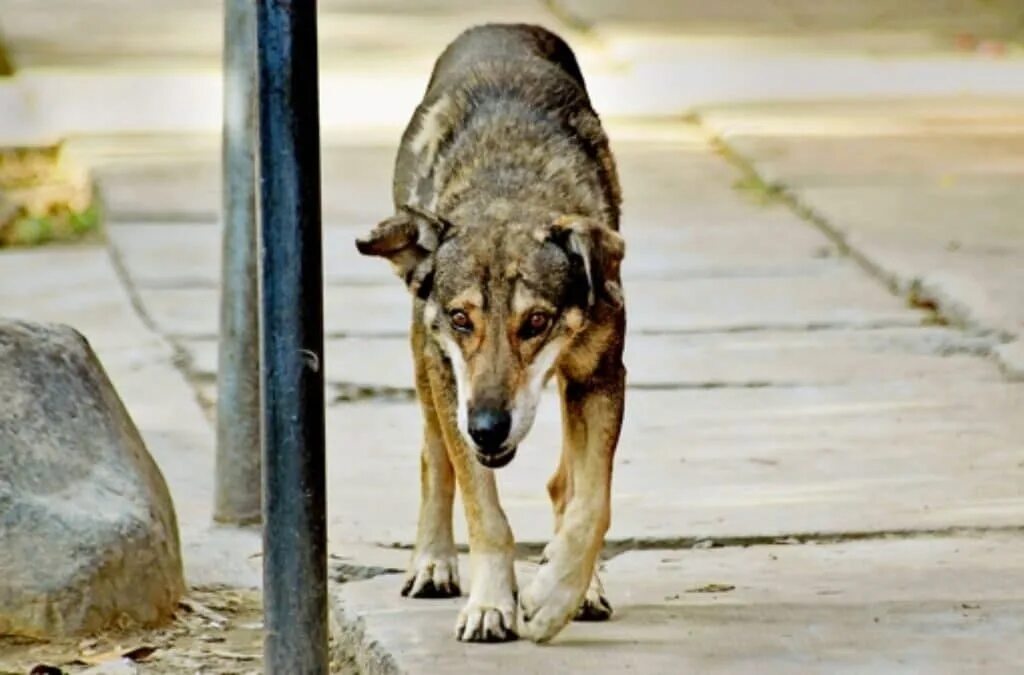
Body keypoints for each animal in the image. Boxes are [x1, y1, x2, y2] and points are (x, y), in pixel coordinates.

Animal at [356, 22, 626, 643]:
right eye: (461, 320)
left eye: (536, 322)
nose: (486, 427)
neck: (508, 188)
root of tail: (500, 26)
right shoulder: (450, 379)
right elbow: (485, 510)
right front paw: (489, 604)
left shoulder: (602, 376)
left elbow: (591, 502)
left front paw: (556, 596)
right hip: (424, 363)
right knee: (434, 458)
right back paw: (432, 564)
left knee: (563, 482)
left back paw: (584, 587)